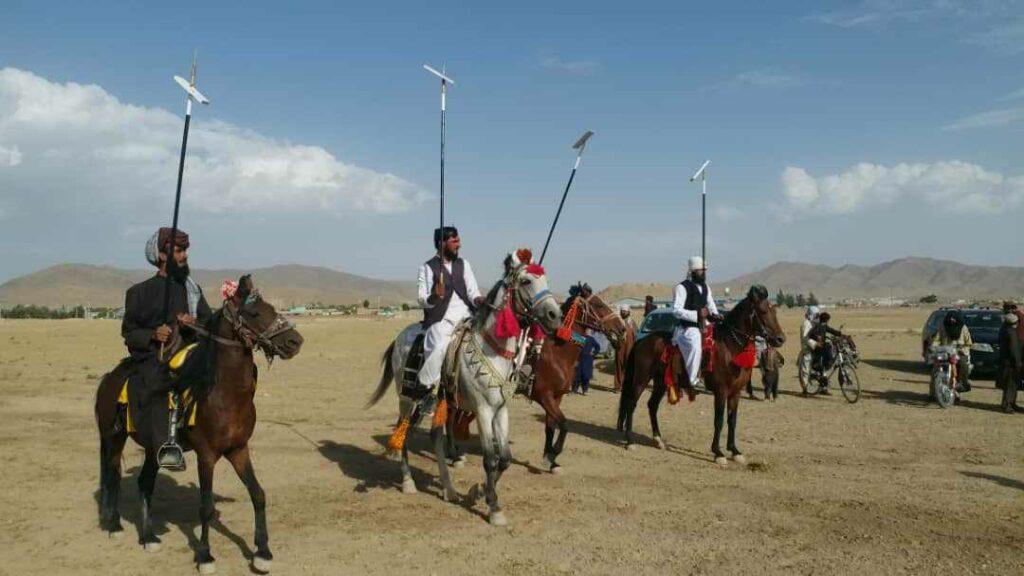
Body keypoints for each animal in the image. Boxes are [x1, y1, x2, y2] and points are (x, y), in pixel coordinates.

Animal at [94, 276, 303, 569]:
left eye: (273, 309)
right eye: (254, 313)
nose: (295, 341)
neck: (224, 395)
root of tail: (108, 379)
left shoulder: (238, 450)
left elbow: (258, 494)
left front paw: (262, 552)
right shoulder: (207, 455)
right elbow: (205, 507)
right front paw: (204, 555)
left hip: (152, 447)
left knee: (145, 483)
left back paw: (148, 536)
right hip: (113, 438)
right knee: (113, 477)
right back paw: (114, 526)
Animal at [366, 248, 565, 524]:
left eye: (544, 279)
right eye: (526, 281)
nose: (555, 316)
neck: (493, 350)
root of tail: (399, 339)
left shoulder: (500, 410)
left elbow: (504, 459)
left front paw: (478, 492)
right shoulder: (483, 410)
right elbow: (490, 460)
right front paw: (493, 507)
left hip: (439, 401)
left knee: (435, 436)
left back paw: (449, 489)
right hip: (407, 399)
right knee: (402, 431)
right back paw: (408, 482)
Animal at [536, 286, 622, 471]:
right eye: (599, 304)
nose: (621, 328)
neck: (557, 353)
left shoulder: (556, 397)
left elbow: (550, 427)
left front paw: (550, 460)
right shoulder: (543, 396)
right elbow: (564, 425)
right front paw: (553, 454)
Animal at [614, 284, 782, 463]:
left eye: (775, 311)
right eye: (763, 311)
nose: (780, 339)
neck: (730, 347)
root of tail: (641, 341)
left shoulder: (735, 392)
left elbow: (732, 420)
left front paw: (734, 451)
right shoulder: (721, 391)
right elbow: (719, 420)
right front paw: (718, 452)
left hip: (660, 383)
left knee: (652, 405)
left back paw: (658, 440)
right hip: (641, 379)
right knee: (631, 403)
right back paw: (630, 441)